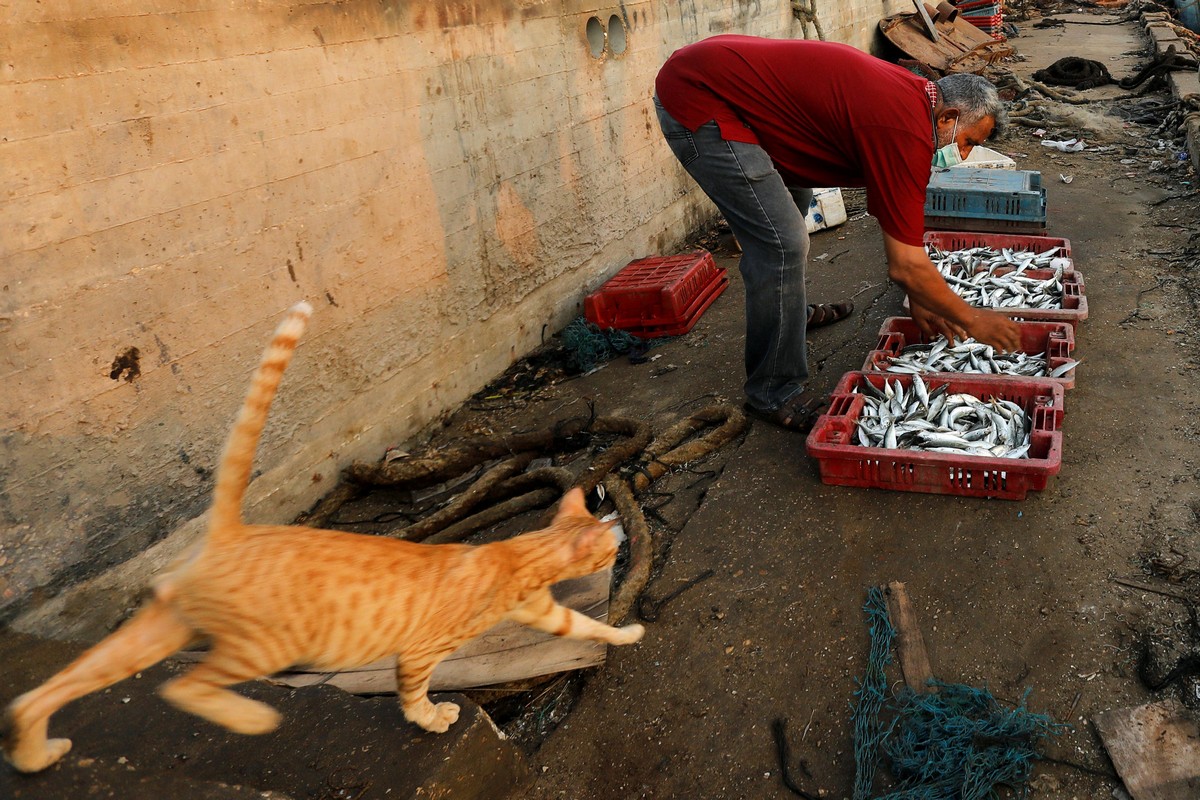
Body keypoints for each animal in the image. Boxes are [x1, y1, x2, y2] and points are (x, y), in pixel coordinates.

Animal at [4, 303, 643, 772]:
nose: (617, 539)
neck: (514, 553)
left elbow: (586, 625)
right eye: (610, 546)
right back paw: (252, 720)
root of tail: (232, 531)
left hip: (160, 630)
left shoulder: (543, 612)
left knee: (47, 690)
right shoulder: (419, 652)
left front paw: (626, 632)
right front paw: (432, 718)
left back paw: (35, 753)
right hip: (262, 645)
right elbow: (414, 694)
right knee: (184, 686)